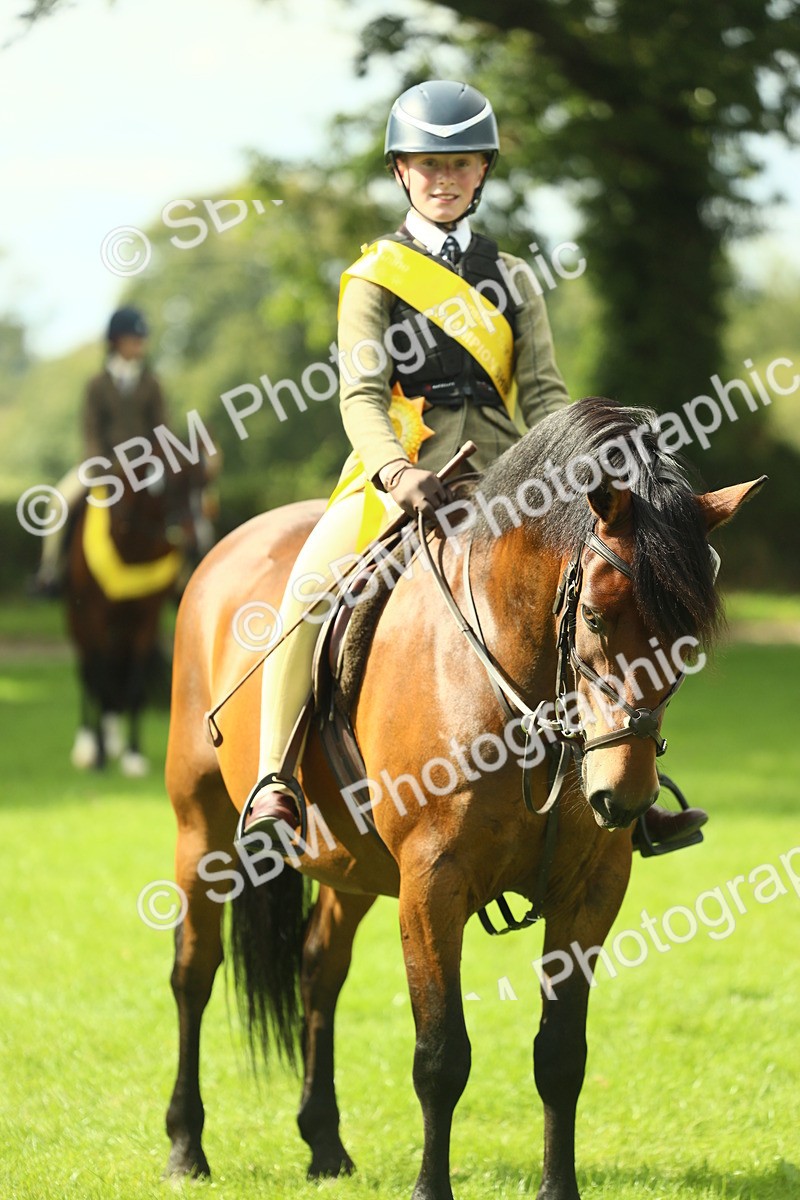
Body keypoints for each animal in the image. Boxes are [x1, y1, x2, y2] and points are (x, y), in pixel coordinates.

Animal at [65, 451, 207, 775]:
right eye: (175, 487)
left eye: (204, 485)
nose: (199, 542)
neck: (132, 544)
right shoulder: (93, 618)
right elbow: (100, 679)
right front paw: (99, 755)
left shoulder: (146, 620)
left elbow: (134, 684)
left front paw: (132, 753)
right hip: (79, 625)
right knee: (89, 675)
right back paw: (88, 745)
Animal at [163, 398, 763, 1199]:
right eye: (596, 618)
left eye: (690, 635)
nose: (624, 798)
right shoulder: (432, 885)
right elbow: (441, 1056)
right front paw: (430, 1187)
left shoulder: (590, 890)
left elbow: (560, 1056)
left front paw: (558, 1188)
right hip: (201, 830)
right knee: (194, 973)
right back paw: (185, 1144)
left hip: (352, 867)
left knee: (319, 972)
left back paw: (324, 1143)